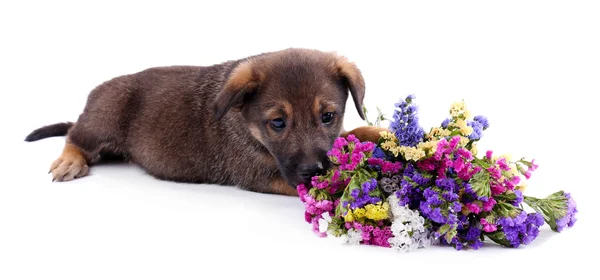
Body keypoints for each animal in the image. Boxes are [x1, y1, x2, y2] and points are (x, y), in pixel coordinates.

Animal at [24, 48, 384, 196]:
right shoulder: (259, 173)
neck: (248, 126)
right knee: (75, 135)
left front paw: (378, 132)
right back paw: (69, 160)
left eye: (327, 117)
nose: (314, 170)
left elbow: (350, 134)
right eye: (278, 123)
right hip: (104, 115)